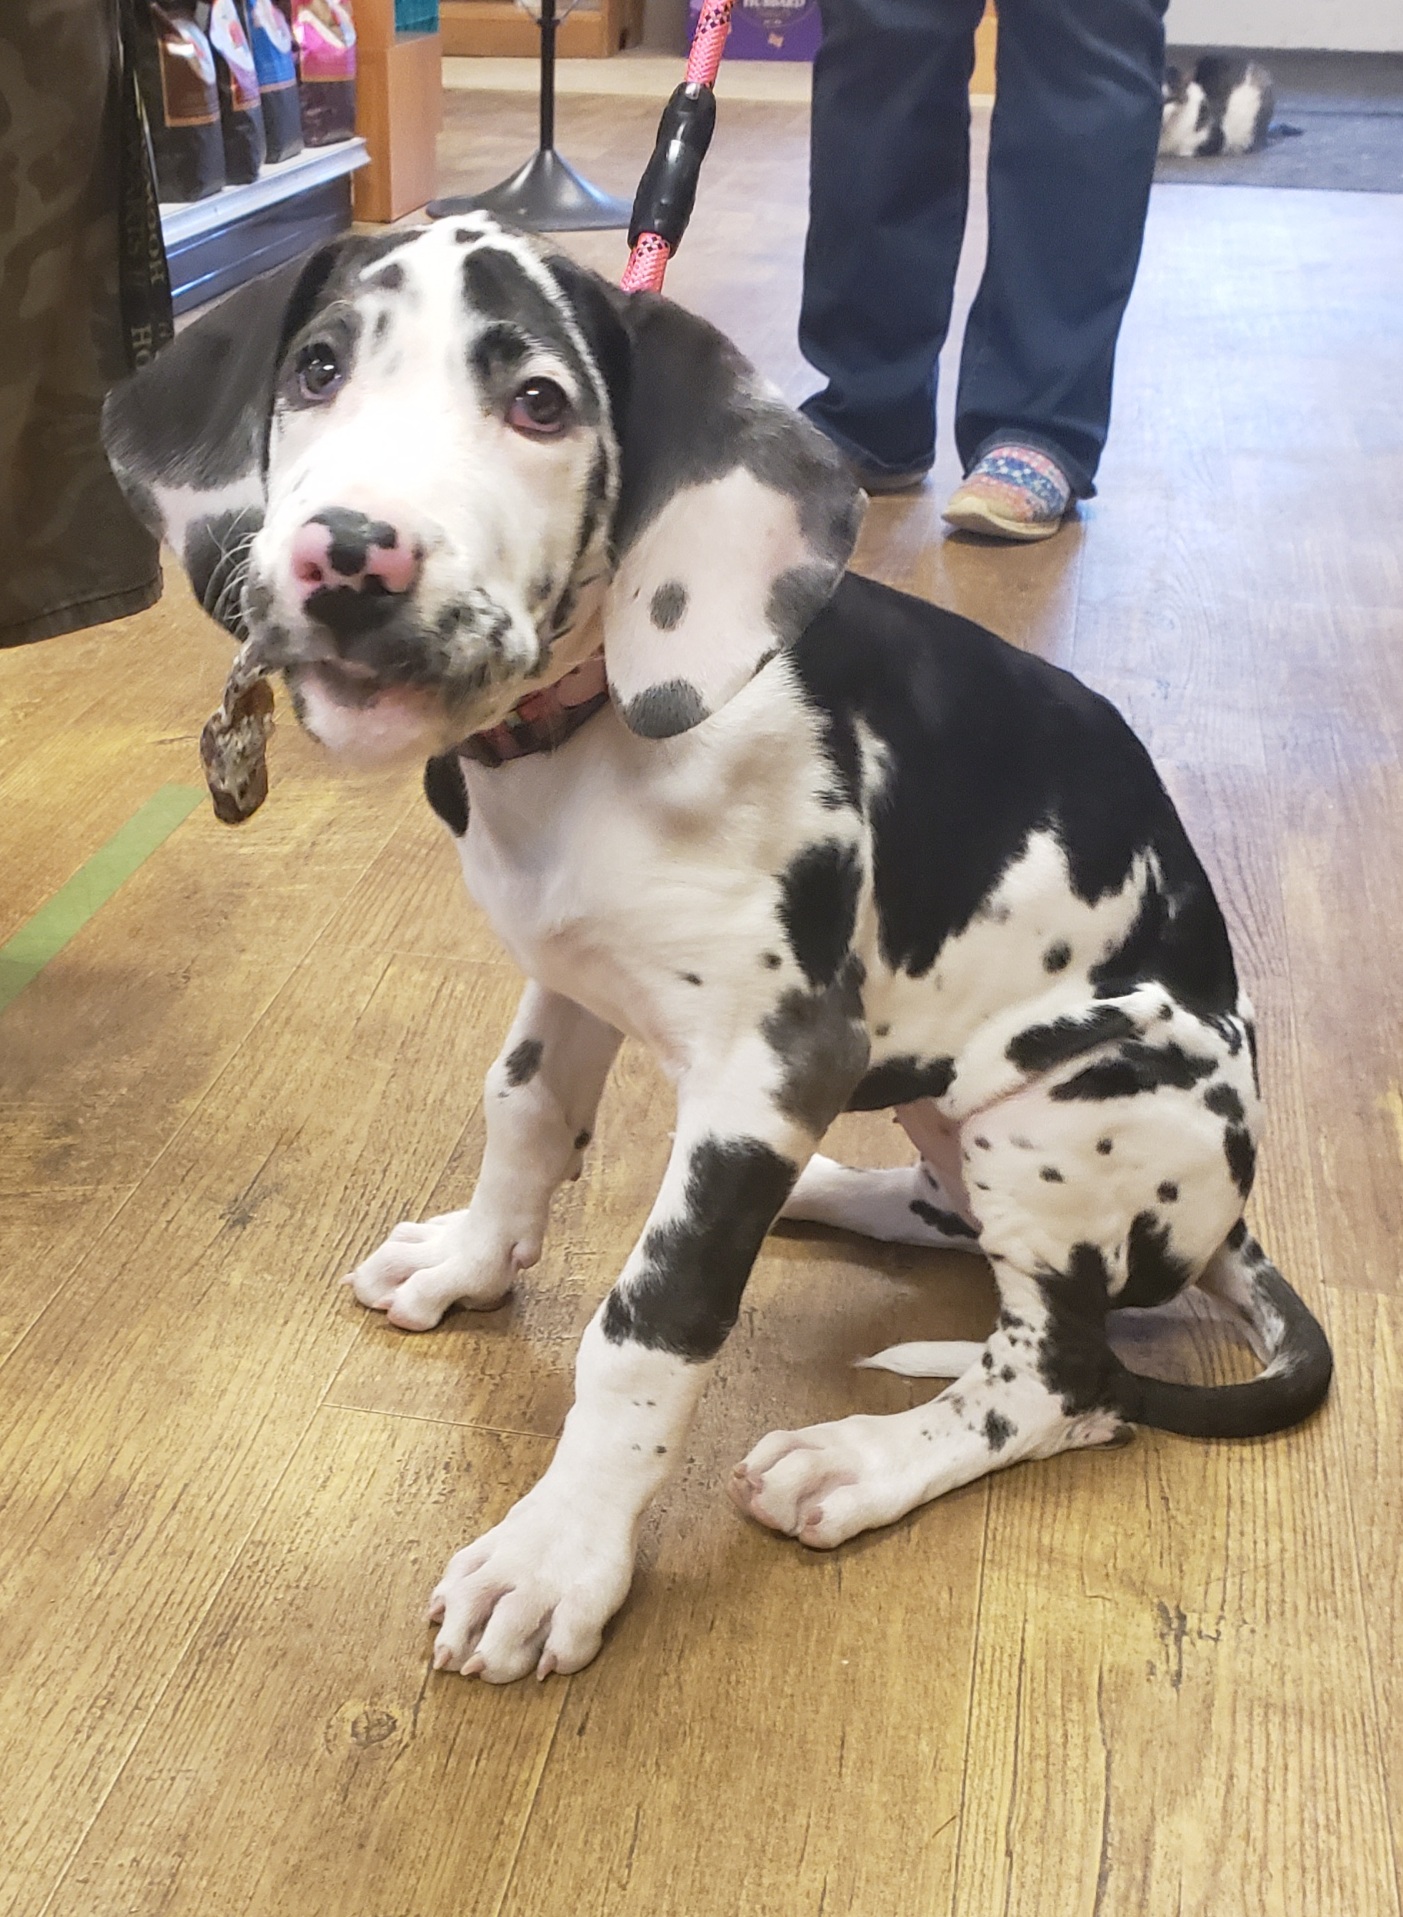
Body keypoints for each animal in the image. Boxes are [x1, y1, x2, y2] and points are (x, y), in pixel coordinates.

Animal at [103, 216, 1332, 1683]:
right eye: (319, 369)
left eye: (539, 404)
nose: (348, 559)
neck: (584, 742)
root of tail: (1228, 1218)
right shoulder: (567, 973)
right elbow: (518, 1113)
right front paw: (471, 1261)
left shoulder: (772, 1063)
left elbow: (649, 1320)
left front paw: (554, 1557)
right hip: (949, 1111)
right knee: (952, 1221)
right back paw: (833, 1190)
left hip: (1077, 1094)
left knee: (1060, 1379)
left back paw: (862, 1460)